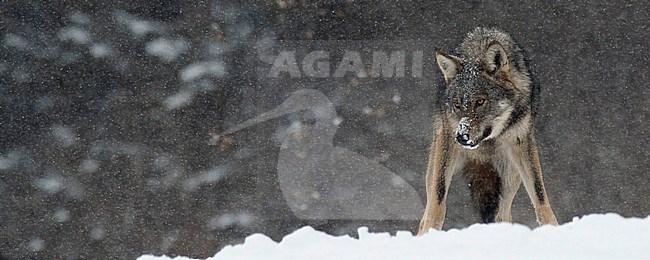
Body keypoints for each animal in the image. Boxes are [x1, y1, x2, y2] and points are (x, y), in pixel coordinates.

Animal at [418, 26, 560, 234]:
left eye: (480, 101)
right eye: (457, 104)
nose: (461, 136)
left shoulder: (522, 142)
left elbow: (539, 194)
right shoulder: (447, 143)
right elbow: (437, 200)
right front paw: (429, 233)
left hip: (509, 175)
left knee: (503, 213)